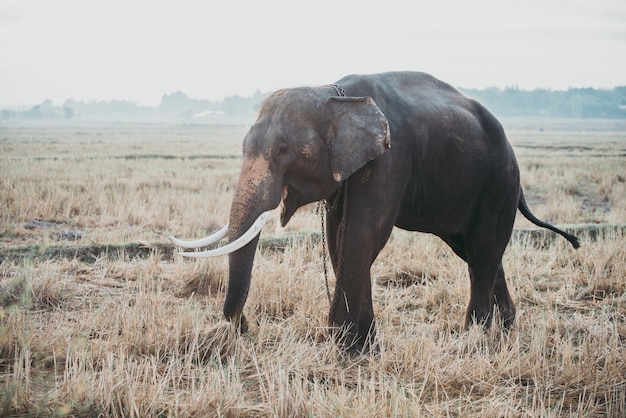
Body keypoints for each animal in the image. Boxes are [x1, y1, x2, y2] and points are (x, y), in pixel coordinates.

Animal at [168, 71, 576, 352]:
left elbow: (361, 235)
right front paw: (361, 344)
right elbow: (337, 235)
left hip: (498, 183)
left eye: (284, 149)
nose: (247, 329)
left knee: (484, 253)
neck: (334, 93)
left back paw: (474, 338)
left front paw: (347, 348)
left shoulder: (389, 160)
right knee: (479, 253)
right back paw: (505, 329)